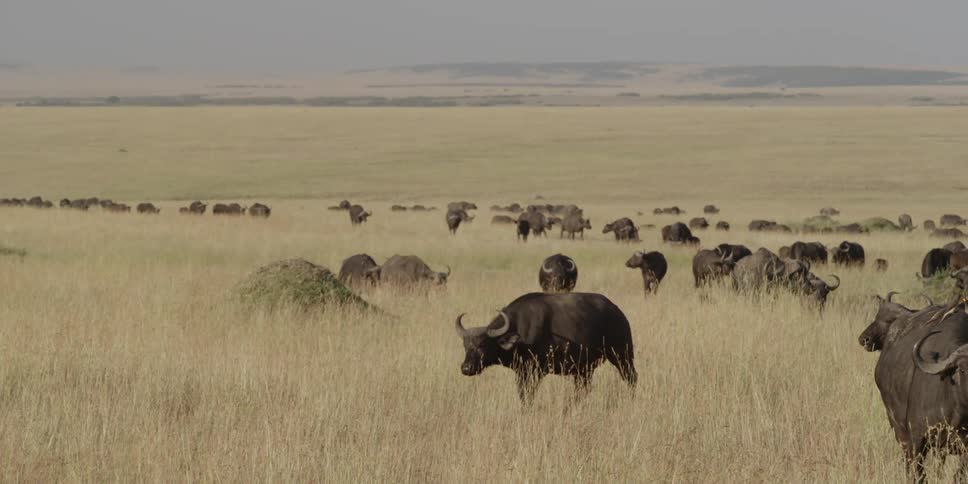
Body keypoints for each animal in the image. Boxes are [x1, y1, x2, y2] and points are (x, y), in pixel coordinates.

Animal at [454, 292, 637, 404]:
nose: (466, 368)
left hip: (623, 356)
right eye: (465, 346)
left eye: (482, 345)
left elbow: (528, 395)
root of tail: (618, 313)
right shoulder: (521, 372)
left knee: (631, 378)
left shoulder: (535, 372)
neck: (520, 329)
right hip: (584, 370)